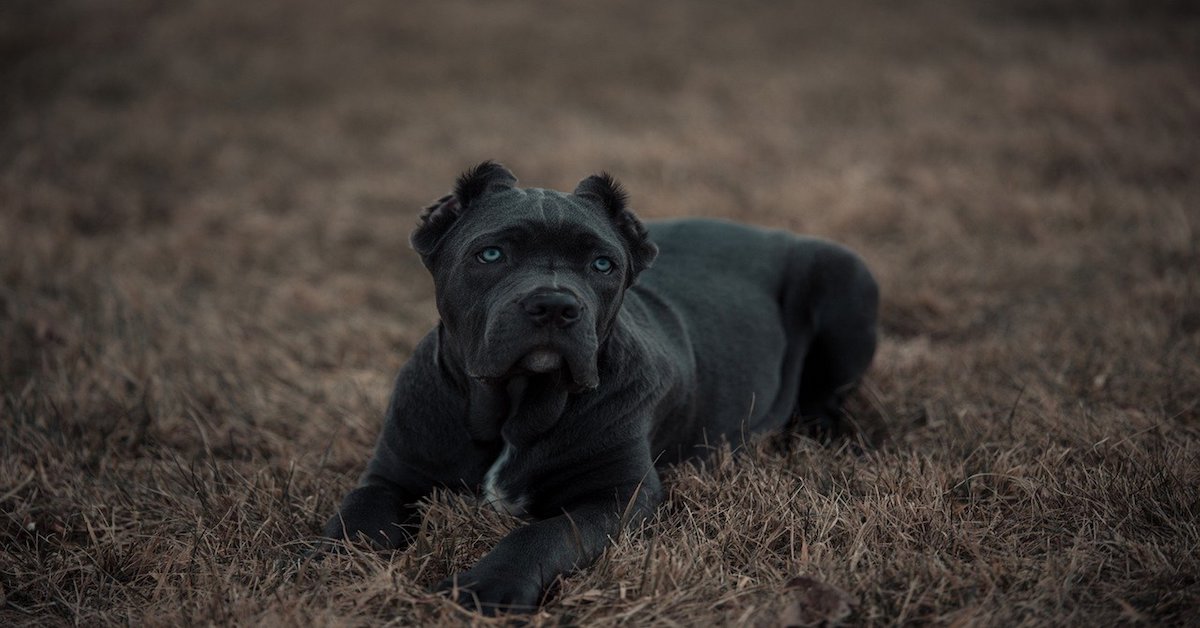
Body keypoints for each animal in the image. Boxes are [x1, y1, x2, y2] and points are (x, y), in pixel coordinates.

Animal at [324, 160, 878, 614]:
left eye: (602, 264)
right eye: (491, 254)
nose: (554, 304)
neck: (515, 408)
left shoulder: (617, 496)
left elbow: (543, 534)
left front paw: (488, 587)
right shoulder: (391, 473)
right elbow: (355, 518)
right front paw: (329, 562)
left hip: (845, 279)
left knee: (826, 397)